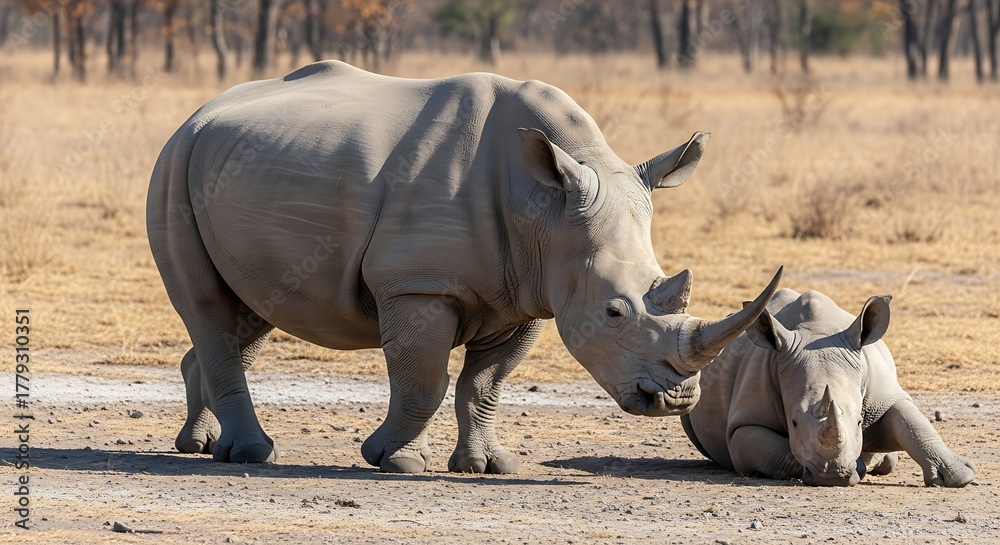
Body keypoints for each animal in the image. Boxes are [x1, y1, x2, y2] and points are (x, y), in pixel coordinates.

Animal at [146, 60, 781, 473]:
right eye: (614, 312)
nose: (675, 401)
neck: (548, 209)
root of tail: (200, 112)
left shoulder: (529, 291)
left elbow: (485, 385)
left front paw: (488, 466)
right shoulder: (420, 285)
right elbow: (424, 378)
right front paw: (396, 461)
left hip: (235, 167)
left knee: (250, 311)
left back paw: (201, 446)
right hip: (173, 162)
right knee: (206, 304)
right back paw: (251, 454)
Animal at [681, 288, 976, 487]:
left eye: (859, 422)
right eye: (794, 423)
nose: (833, 474)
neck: (817, 332)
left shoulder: (884, 394)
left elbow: (913, 422)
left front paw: (960, 476)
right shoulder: (746, 420)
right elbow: (771, 449)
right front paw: (846, 468)